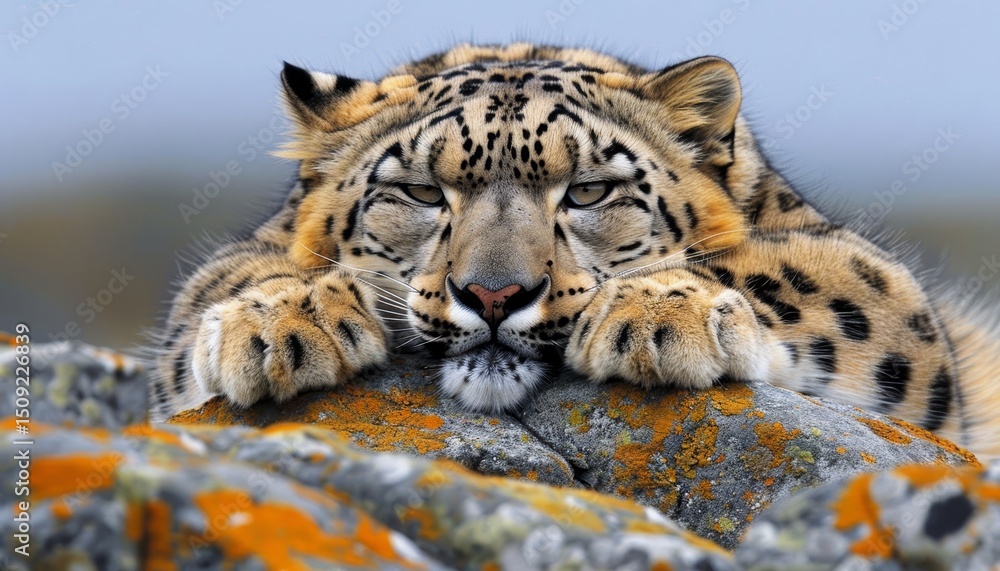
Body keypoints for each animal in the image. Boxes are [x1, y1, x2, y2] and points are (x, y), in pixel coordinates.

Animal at [149, 43, 1000, 459]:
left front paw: (659, 315)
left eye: (588, 190)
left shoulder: (863, 269)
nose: (493, 294)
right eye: (422, 191)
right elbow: (219, 282)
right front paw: (279, 323)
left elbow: (784, 270)